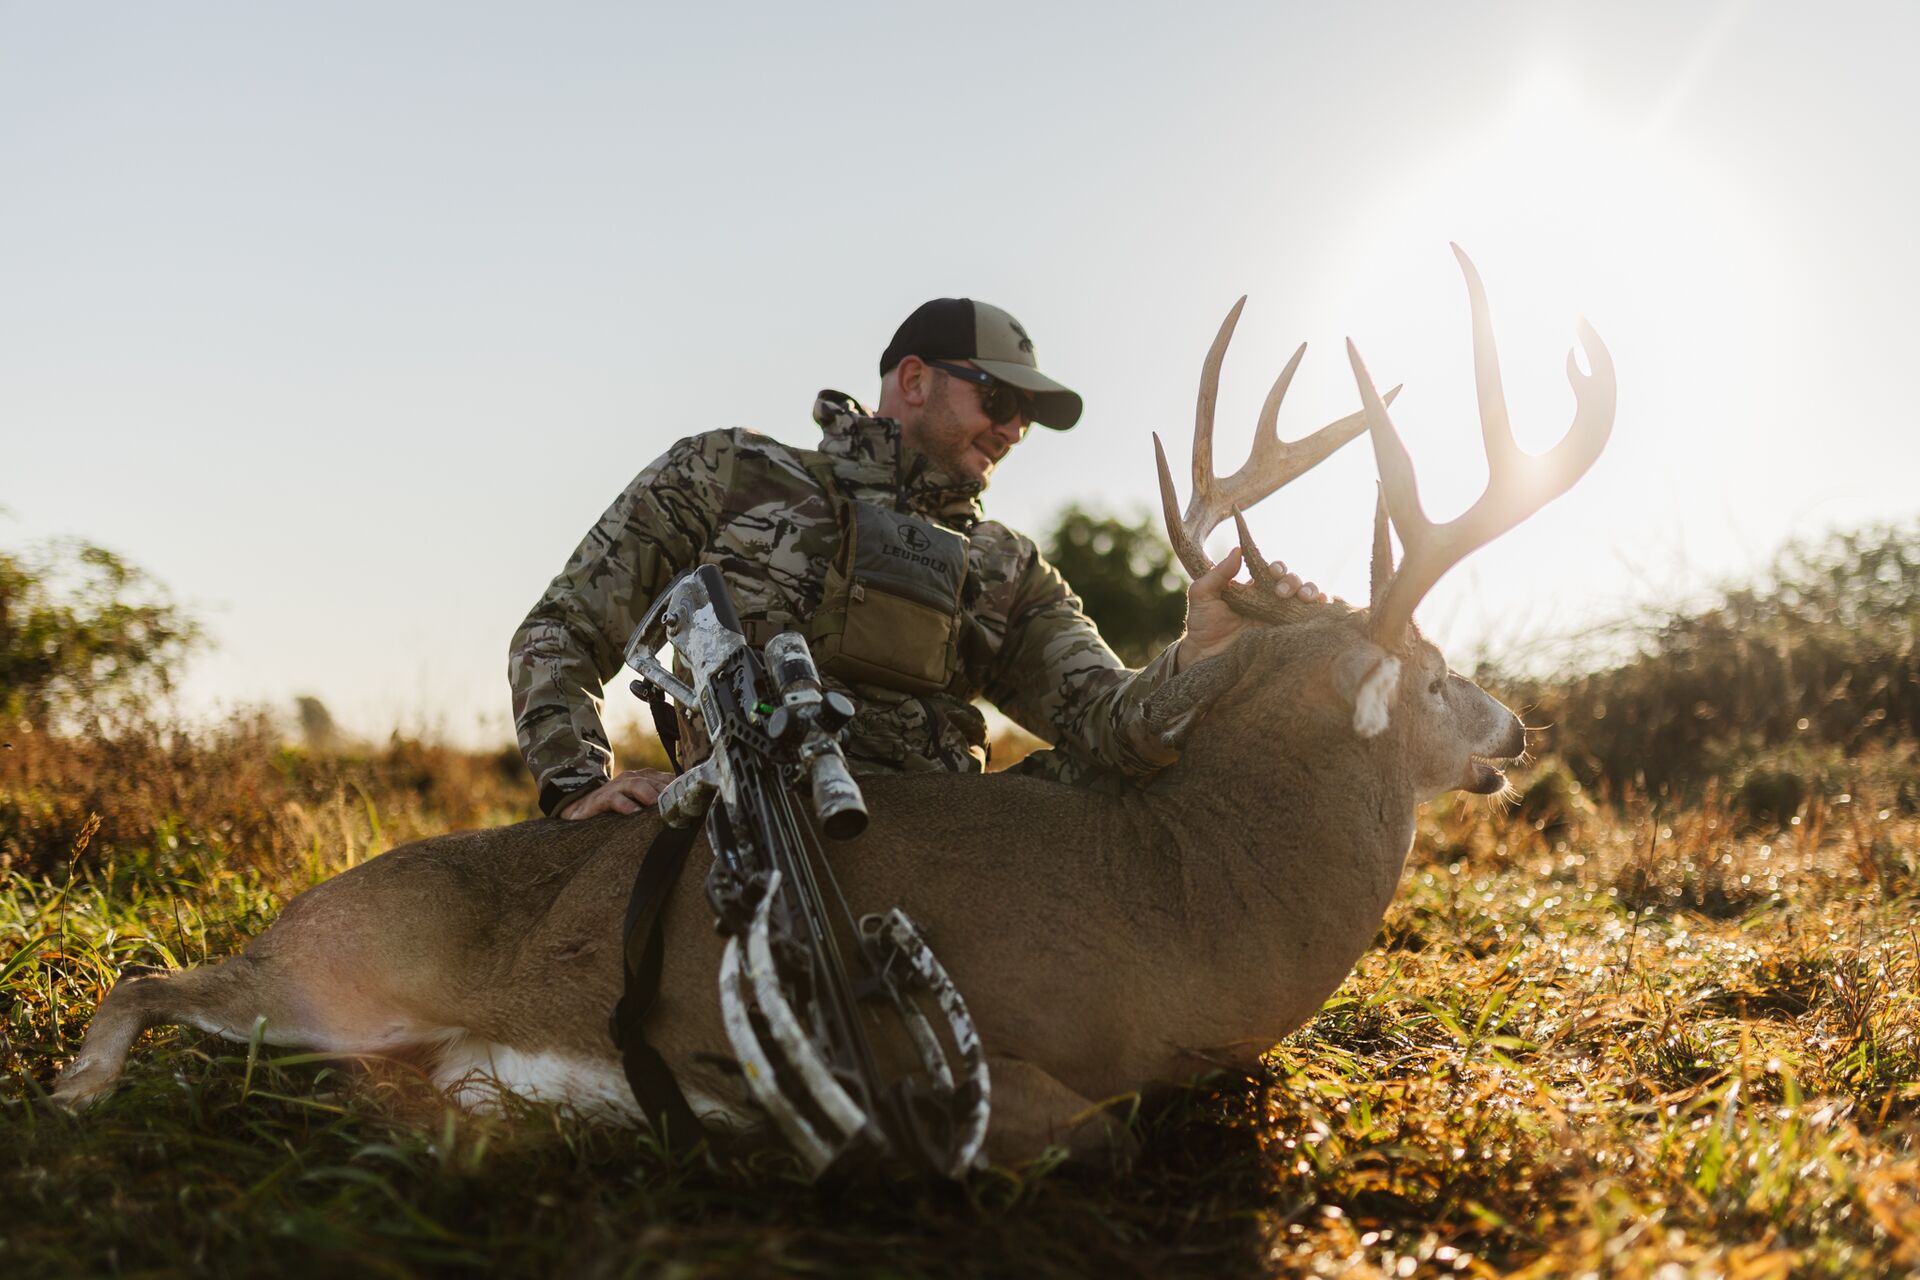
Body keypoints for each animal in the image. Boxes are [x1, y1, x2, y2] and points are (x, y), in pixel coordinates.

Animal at [51, 247, 1614, 1166]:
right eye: (1435, 673)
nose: (1516, 728)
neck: (1193, 902)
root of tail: (303, 904)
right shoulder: (1019, 1056)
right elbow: (1093, 1128)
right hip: (337, 973)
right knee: (145, 979)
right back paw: (71, 1097)